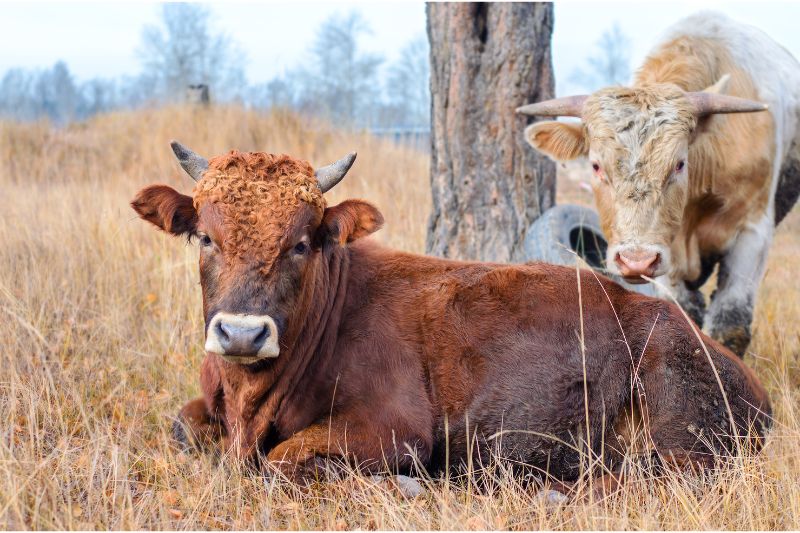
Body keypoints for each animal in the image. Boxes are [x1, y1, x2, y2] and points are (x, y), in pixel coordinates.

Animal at [131, 142, 771, 489]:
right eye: (205, 237)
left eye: (301, 243)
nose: (241, 333)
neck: (252, 399)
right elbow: (183, 426)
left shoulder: (393, 429)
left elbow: (282, 460)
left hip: (673, 428)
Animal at [519, 12, 800, 357]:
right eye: (596, 166)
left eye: (679, 164)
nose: (635, 260)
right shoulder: (667, 253)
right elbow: (684, 314)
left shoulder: (753, 231)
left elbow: (730, 323)